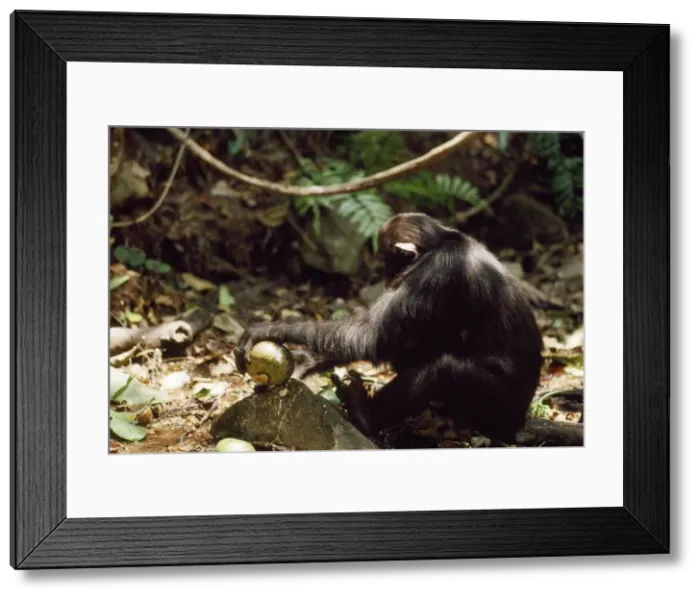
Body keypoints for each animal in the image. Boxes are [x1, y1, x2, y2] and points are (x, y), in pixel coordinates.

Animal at [234, 212, 544, 446]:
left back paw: (363, 413)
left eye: (385, 257)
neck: (441, 243)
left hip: (498, 407)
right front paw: (305, 360)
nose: (385, 273)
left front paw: (269, 329)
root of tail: (519, 422)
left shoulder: (436, 273)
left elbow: (372, 335)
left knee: (442, 372)